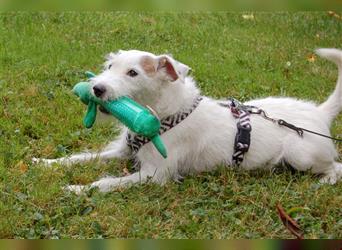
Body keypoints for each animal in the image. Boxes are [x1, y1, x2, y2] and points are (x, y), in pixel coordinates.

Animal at [34, 48, 342, 193]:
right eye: (110, 67)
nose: (97, 89)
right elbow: (81, 157)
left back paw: (323, 182)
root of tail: (319, 112)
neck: (164, 114)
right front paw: (45, 163)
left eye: (133, 73)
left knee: (335, 167)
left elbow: (106, 183)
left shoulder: (156, 175)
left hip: (301, 154)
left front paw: (76, 189)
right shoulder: (122, 150)